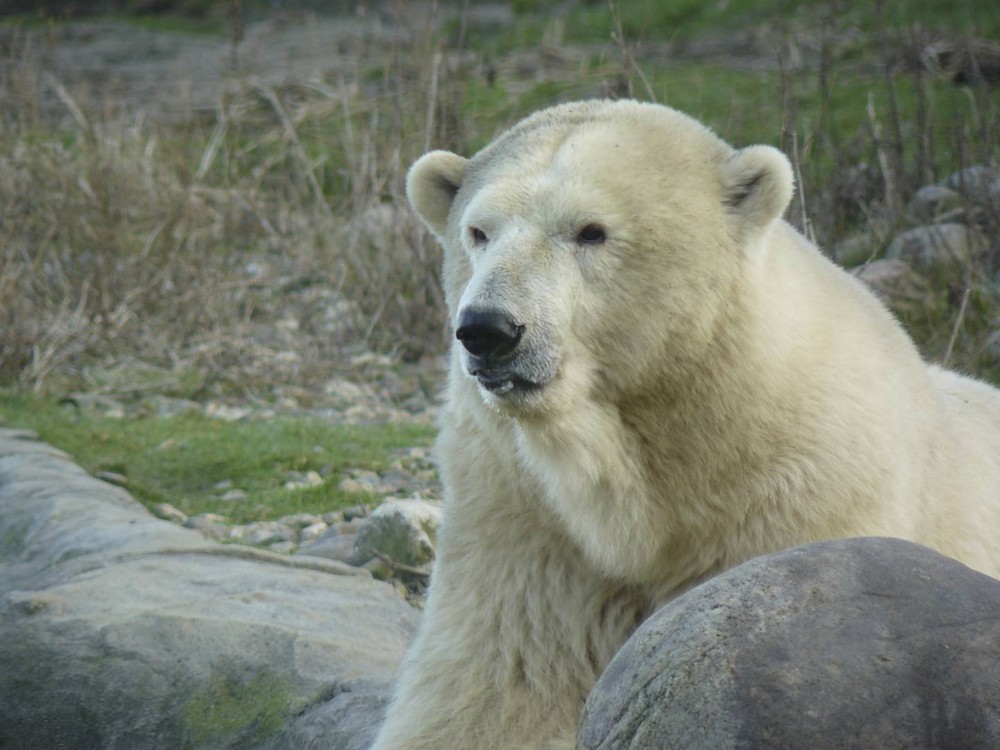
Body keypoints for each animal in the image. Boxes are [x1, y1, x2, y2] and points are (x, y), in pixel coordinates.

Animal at [368, 100, 1000, 750]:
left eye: (591, 230)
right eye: (478, 231)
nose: (489, 329)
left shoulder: (802, 497)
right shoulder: (522, 521)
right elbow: (495, 690)